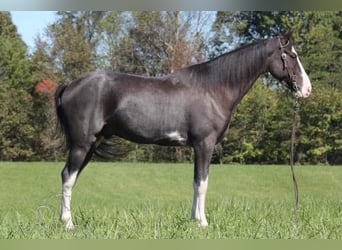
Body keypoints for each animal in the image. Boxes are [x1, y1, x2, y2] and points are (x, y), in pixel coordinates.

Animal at [55, 32, 310, 229]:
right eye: (292, 56)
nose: (307, 89)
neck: (213, 89)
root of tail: (70, 85)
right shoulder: (204, 145)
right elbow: (203, 183)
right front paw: (203, 223)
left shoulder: (197, 147)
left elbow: (196, 182)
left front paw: (193, 220)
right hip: (81, 145)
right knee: (67, 177)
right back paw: (68, 224)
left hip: (90, 145)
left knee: (71, 178)